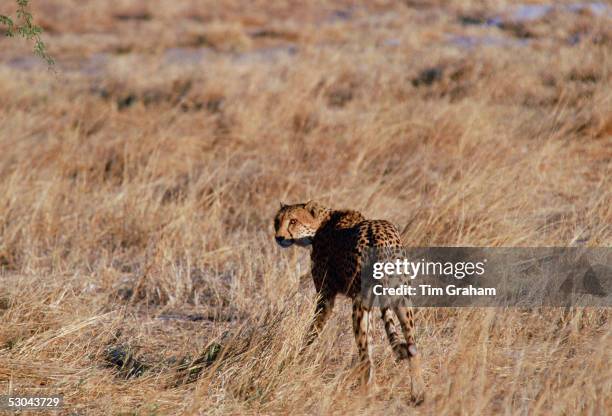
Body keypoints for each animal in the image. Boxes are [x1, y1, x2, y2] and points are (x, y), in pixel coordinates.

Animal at [274, 201, 424, 404]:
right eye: (277, 221)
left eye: (293, 221)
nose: (279, 237)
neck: (321, 223)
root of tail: (379, 235)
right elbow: (372, 339)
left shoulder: (325, 297)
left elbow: (312, 331)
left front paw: (297, 357)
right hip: (401, 298)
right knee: (411, 345)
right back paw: (417, 393)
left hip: (360, 304)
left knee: (365, 354)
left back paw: (366, 392)